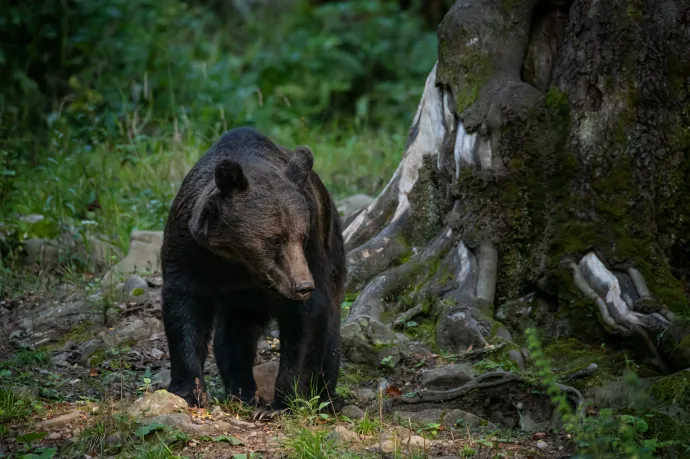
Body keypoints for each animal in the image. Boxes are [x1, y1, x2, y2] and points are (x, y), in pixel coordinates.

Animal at [159, 125, 346, 416]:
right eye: (276, 239)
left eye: (301, 237)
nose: (302, 285)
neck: (240, 261)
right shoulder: (189, 248)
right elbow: (183, 305)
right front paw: (190, 391)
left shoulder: (312, 247)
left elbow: (308, 318)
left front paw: (283, 402)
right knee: (232, 335)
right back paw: (241, 391)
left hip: (334, 247)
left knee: (331, 334)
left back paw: (327, 395)